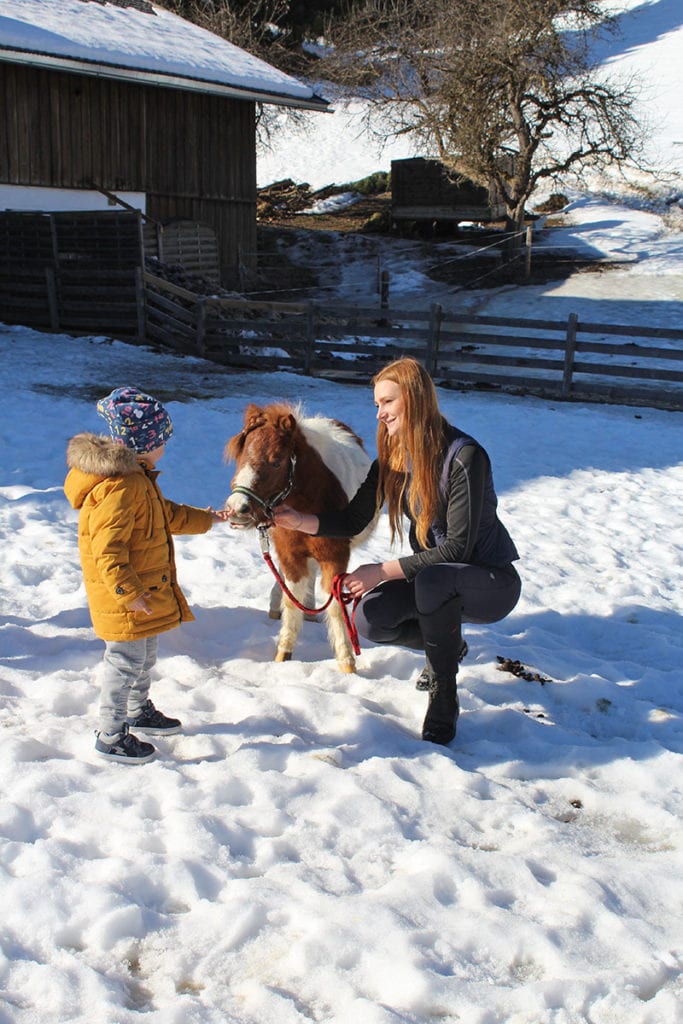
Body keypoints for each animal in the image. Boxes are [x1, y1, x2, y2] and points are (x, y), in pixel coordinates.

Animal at [224, 403, 374, 675]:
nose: (236, 508)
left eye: (276, 462)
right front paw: (283, 653)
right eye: (240, 456)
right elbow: (291, 598)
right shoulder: (289, 554)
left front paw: (346, 661)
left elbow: (335, 607)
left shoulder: (335, 557)